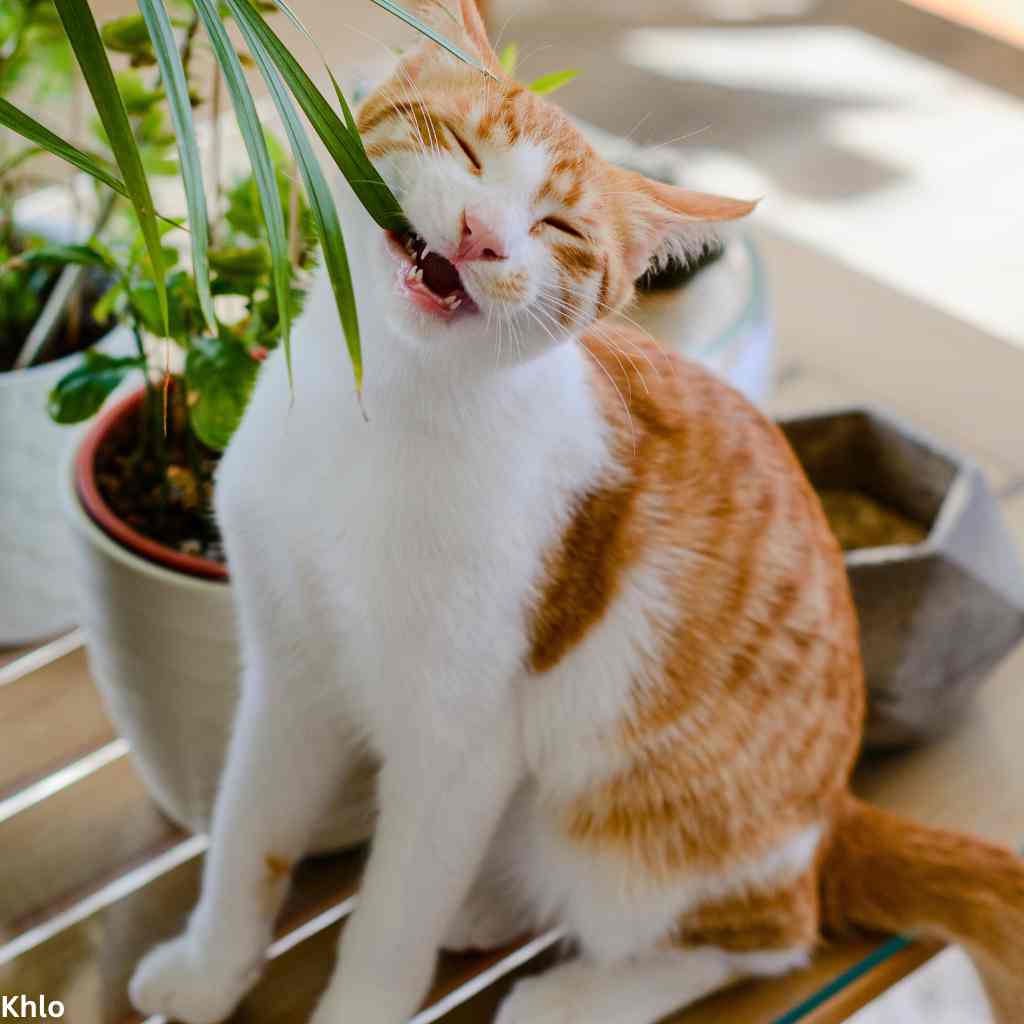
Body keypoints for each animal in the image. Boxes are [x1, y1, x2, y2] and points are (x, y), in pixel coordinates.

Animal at [128, 2, 1024, 1024]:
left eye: (557, 226)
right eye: (463, 148)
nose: (481, 235)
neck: (381, 409)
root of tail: (835, 814)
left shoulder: (462, 734)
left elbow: (392, 913)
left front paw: (364, 995)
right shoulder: (287, 671)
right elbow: (249, 836)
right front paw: (209, 969)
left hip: (627, 823)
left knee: (764, 939)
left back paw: (573, 995)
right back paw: (485, 907)